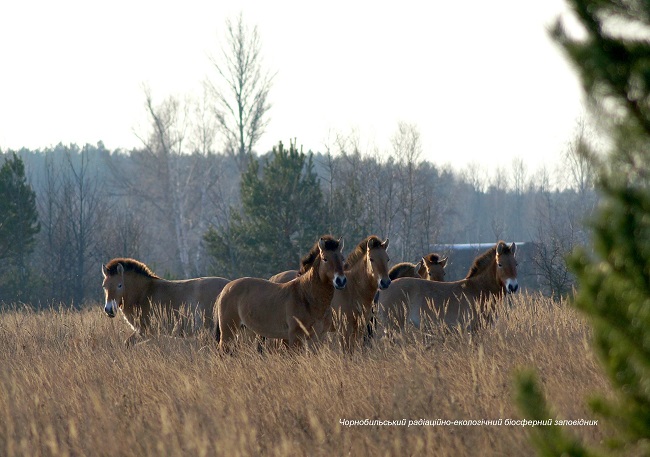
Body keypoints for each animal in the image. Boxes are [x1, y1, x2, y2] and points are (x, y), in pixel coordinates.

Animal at [215, 235, 346, 350]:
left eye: (342, 259)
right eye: (325, 258)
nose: (340, 281)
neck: (306, 296)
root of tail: (226, 288)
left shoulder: (317, 338)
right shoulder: (295, 337)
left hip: (247, 332)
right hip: (228, 332)